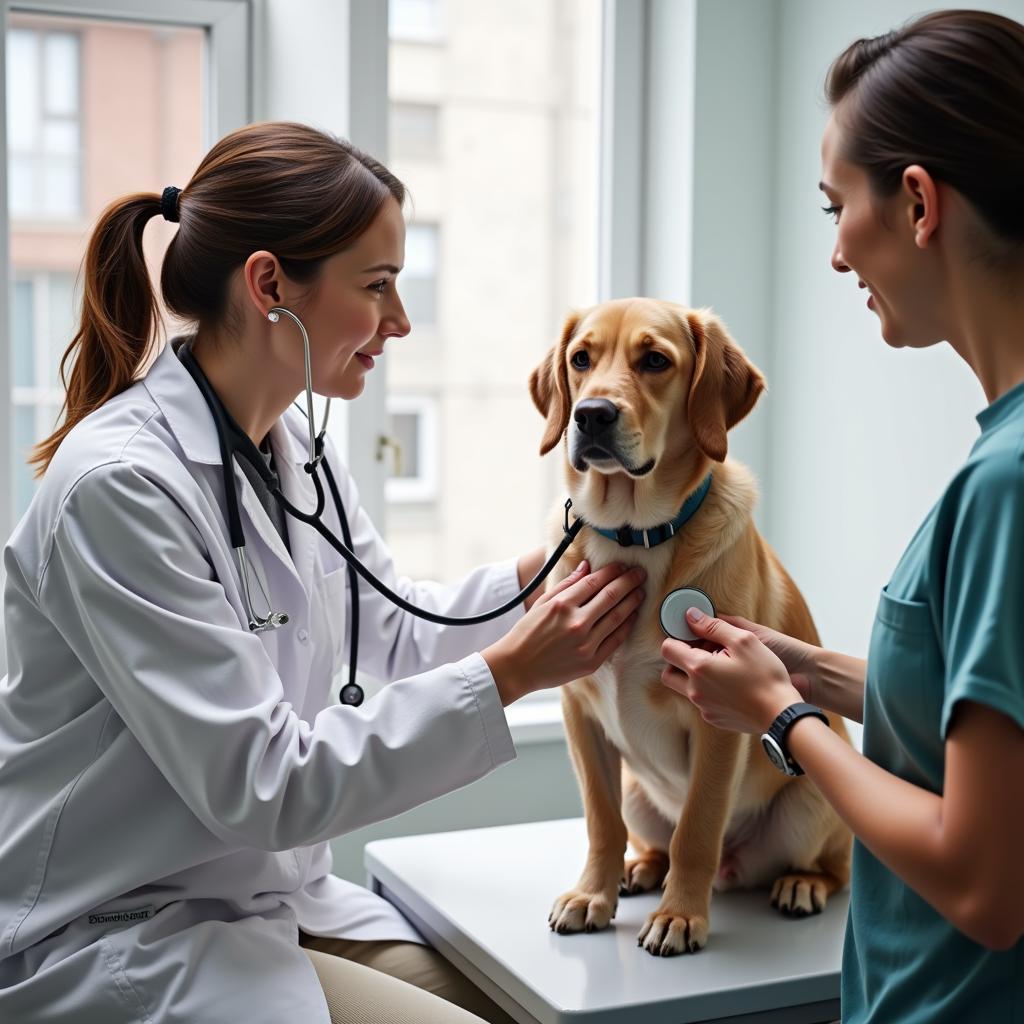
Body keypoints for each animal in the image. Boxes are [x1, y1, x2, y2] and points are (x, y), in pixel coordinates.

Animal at [532, 299, 851, 954]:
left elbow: (698, 827)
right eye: (581, 359)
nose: (591, 415)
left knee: (838, 867)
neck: (634, 535)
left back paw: (801, 884)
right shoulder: (579, 714)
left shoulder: (718, 721)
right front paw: (593, 894)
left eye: (656, 361)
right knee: (646, 835)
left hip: (811, 801)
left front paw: (680, 915)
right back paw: (638, 869)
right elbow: (600, 821)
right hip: (638, 792)